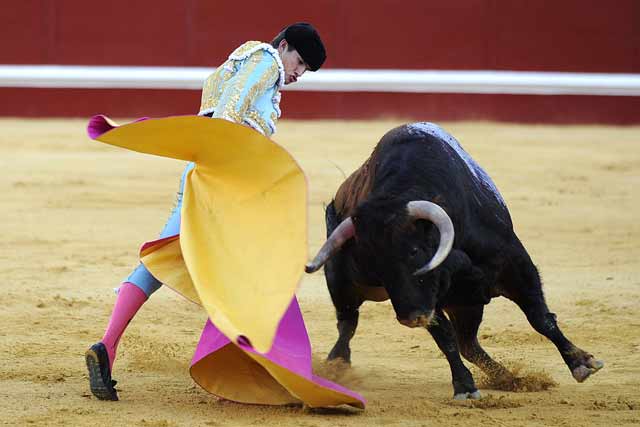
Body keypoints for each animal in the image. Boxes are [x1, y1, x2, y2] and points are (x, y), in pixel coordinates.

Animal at [308, 123, 604, 402]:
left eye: (414, 251)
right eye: (375, 266)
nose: (410, 318)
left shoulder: (517, 265)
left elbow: (540, 318)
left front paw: (581, 363)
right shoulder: (429, 299)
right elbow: (445, 337)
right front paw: (465, 386)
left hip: (467, 304)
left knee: (468, 343)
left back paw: (510, 379)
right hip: (342, 282)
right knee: (348, 323)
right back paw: (336, 366)